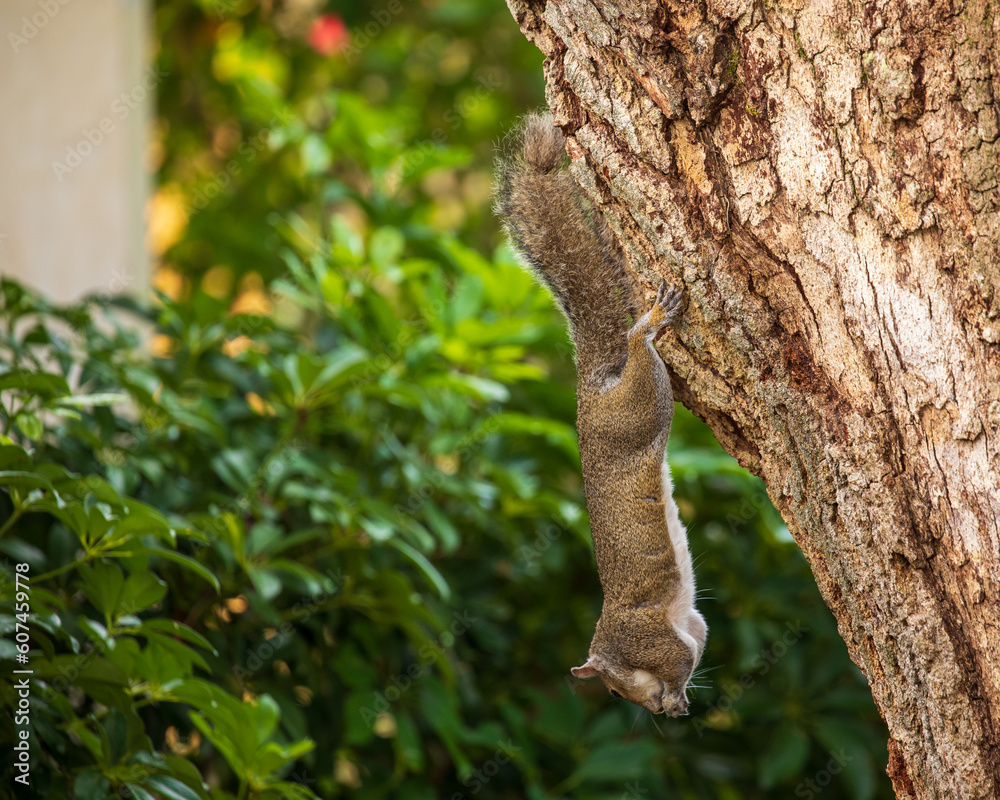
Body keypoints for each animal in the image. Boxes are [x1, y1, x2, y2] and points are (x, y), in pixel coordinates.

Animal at [495, 113, 707, 717]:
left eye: (620, 686)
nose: (666, 715)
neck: (614, 639)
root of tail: (592, 391)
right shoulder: (693, 626)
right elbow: (700, 643)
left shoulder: (657, 640)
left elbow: (682, 660)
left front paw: (679, 693)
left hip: (639, 407)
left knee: (640, 347)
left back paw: (650, 324)